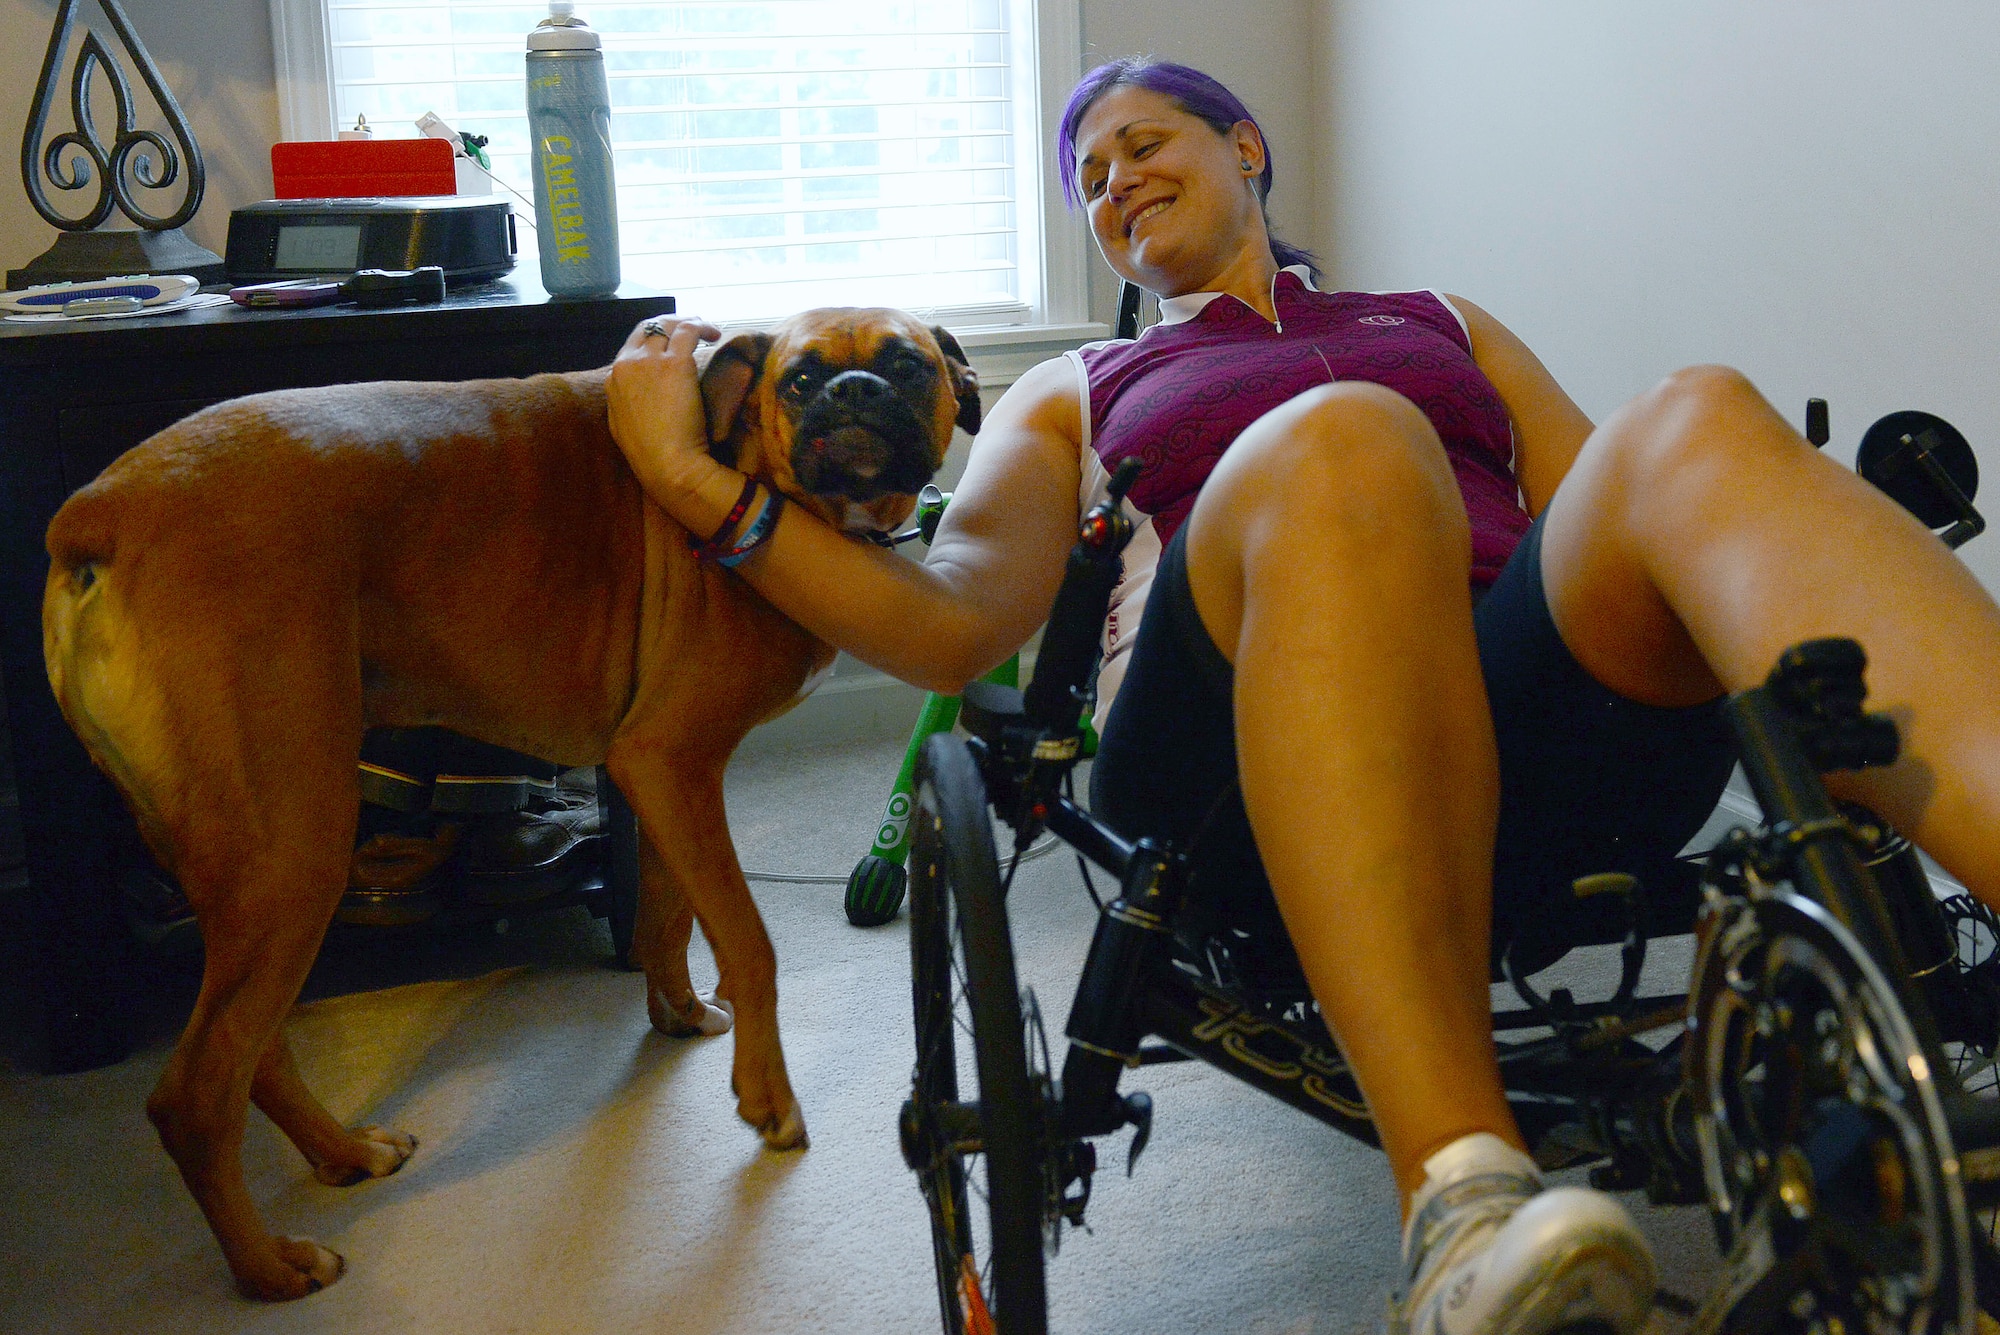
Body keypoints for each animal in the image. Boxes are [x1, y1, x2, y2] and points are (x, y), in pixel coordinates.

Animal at [43, 307, 980, 1295]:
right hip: (293, 857)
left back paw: (342, 1153)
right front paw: (765, 1095)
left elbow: (669, 915)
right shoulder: (671, 761)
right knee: (193, 1097)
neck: (745, 470)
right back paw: (269, 1265)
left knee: (254, 1055)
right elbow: (747, 940)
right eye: (800, 380)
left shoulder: (664, 781)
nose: (856, 392)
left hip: (246, 874)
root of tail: (99, 509)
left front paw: (678, 1015)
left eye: (908, 367)